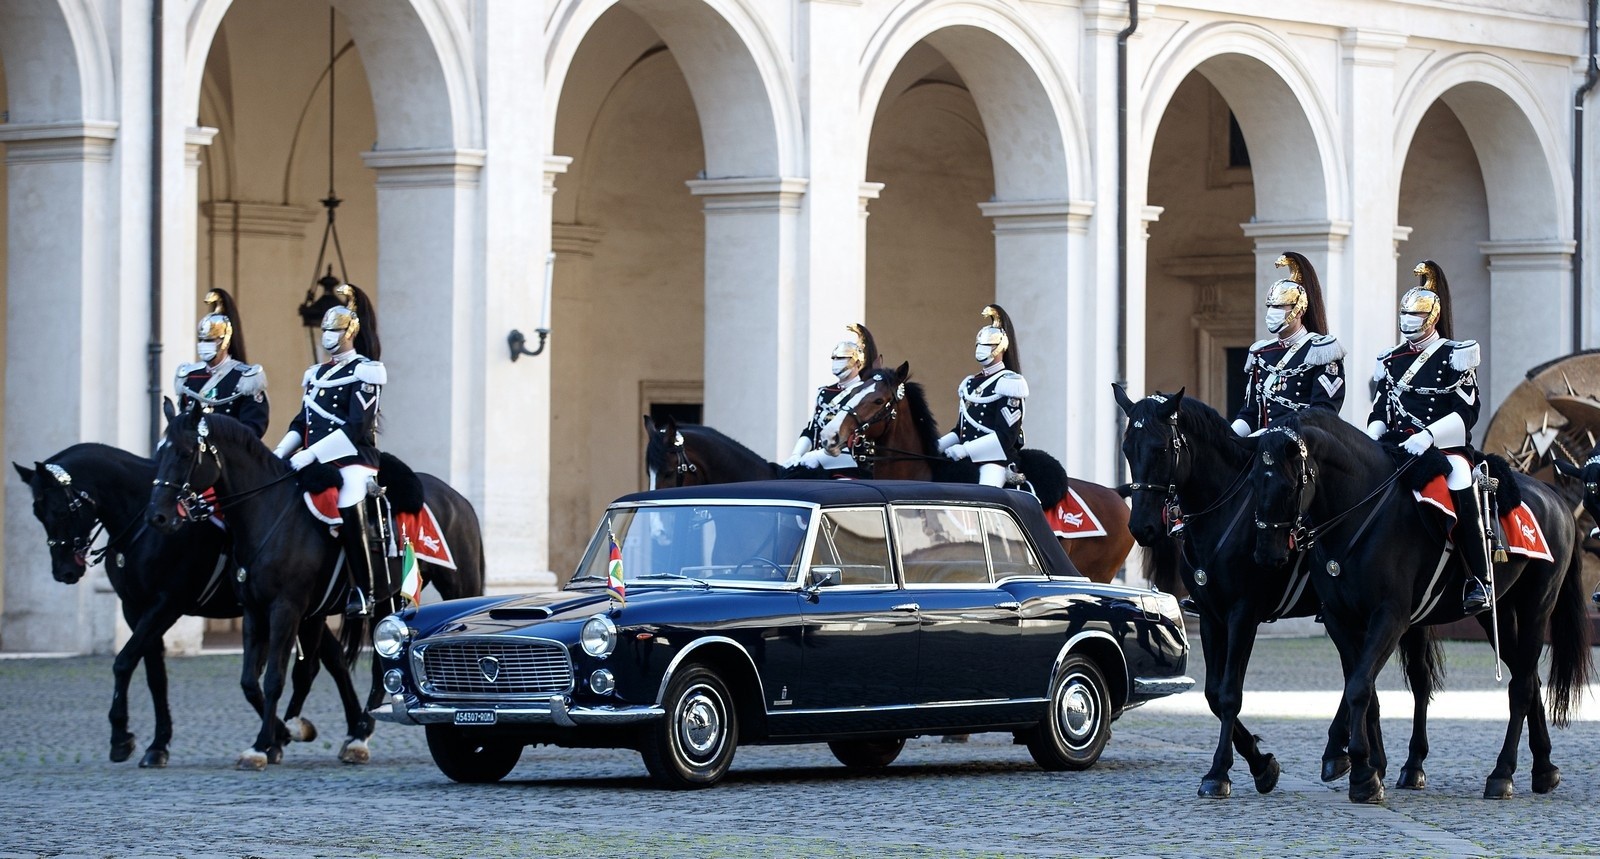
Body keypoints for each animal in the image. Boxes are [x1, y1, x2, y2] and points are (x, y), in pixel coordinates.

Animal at [13, 441, 353, 764]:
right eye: (37, 513)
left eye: (60, 510)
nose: (64, 572)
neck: (143, 522)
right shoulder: (135, 609)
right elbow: (155, 676)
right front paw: (158, 744)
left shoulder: (167, 604)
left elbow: (124, 661)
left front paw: (121, 737)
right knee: (333, 659)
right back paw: (350, 731)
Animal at [147, 404, 483, 767]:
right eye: (159, 452)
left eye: (185, 453)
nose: (158, 517)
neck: (268, 512)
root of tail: (457, 497)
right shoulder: (255, 610)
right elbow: (251, 681)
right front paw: (281, 734)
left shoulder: (286, 609)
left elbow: (275, 678)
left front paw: (263, 744)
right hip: (384, 599)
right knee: (378, 668)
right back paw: (358, 735)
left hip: (458, 588)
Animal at [1254, 404, 1593, 799]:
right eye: (1253, 481)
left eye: (1288, 483)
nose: (1267, 555)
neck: (1361, 510)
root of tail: (1554, 497)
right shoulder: (1342, 620)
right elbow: (1364, 686)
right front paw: (1366, 765)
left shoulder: (1391, 617)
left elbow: (1359, 686)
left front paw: (1362, 773)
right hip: (1500, 612)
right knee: (1527, 676)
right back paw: (1544, 768)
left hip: (1537, 607)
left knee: (1522, 686)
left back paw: (1502, 773)